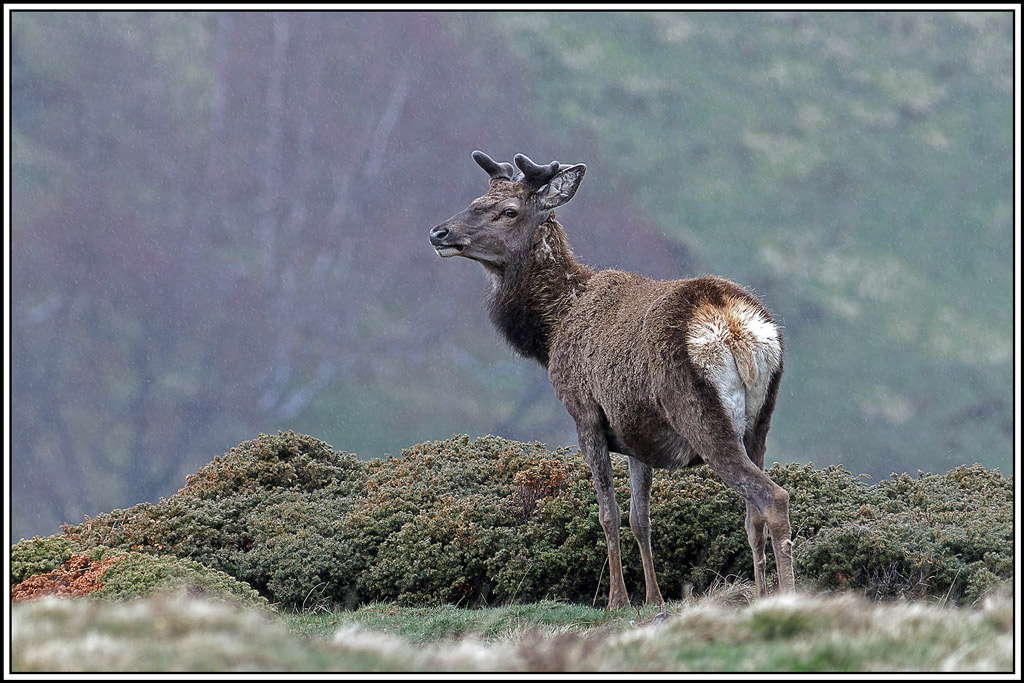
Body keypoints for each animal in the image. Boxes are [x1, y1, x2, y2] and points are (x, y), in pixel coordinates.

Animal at [429, 151, 795, 608]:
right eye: (476, 199)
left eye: (509, 210)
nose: (439, 231)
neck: (551, 330)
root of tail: (735, 328)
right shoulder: (636, 431)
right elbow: (641, 518)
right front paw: (654, 599)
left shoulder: (584, 412)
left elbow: (608, 513)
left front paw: (617, 600)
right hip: (761, 419)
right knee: (752, 514)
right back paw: (762, 595)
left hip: (699, 412)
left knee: (772, 496)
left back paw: (789, 595)